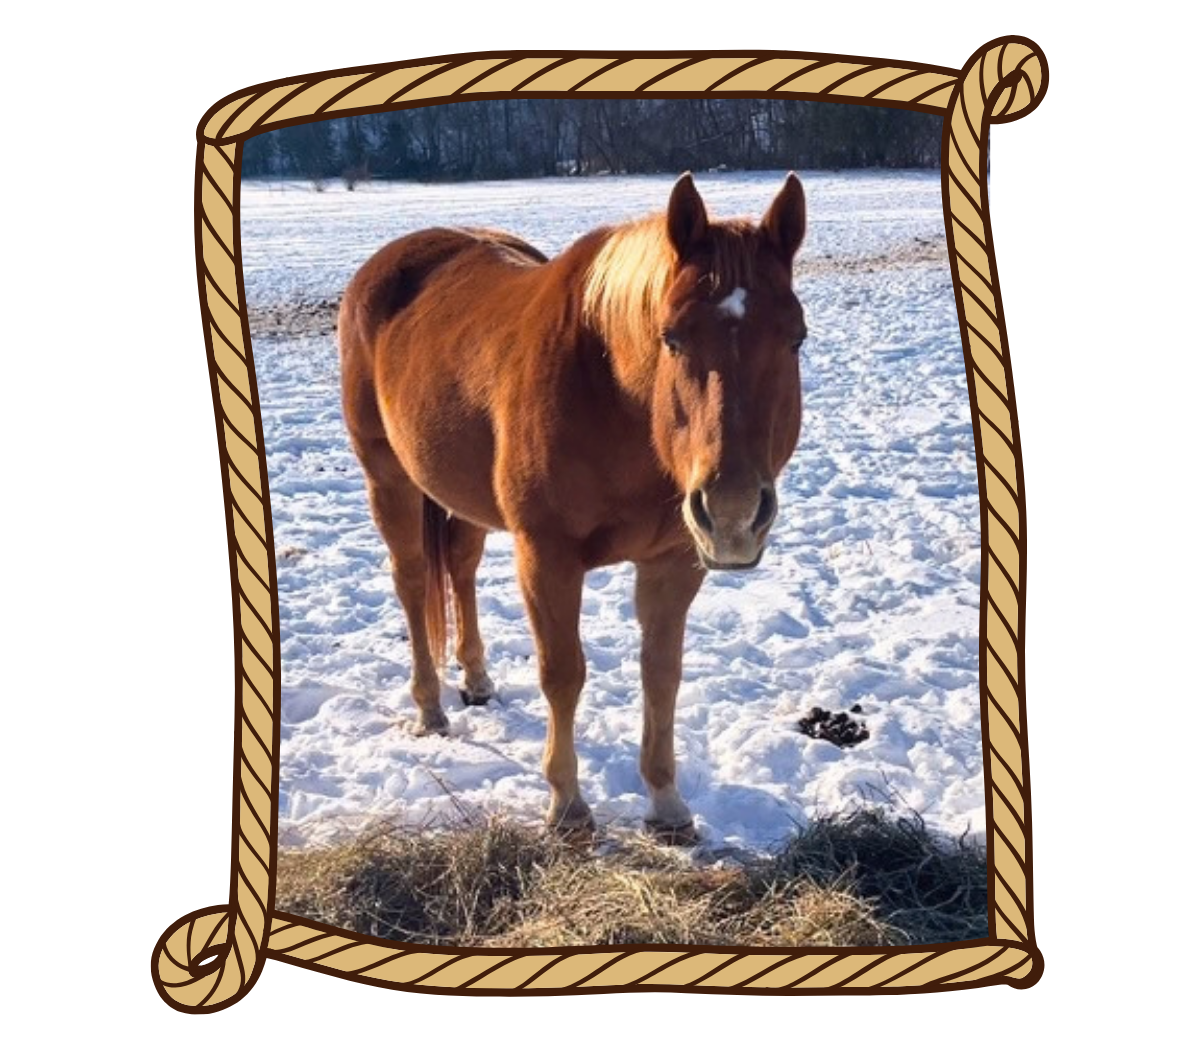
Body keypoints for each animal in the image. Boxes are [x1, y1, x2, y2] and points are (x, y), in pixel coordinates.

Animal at [338, 172, 807, 843]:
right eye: (672, 337)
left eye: (796, 338)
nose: (734, 512)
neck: (613, 393)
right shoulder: (547, 556)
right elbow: (563, 672)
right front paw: (566, 804)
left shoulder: (673, 562)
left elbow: (661, 674)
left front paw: (667, 805)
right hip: (389, 479)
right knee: (411, 580)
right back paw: (429, 706)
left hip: (465, 499)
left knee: (460, 568)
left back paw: (476, 680)